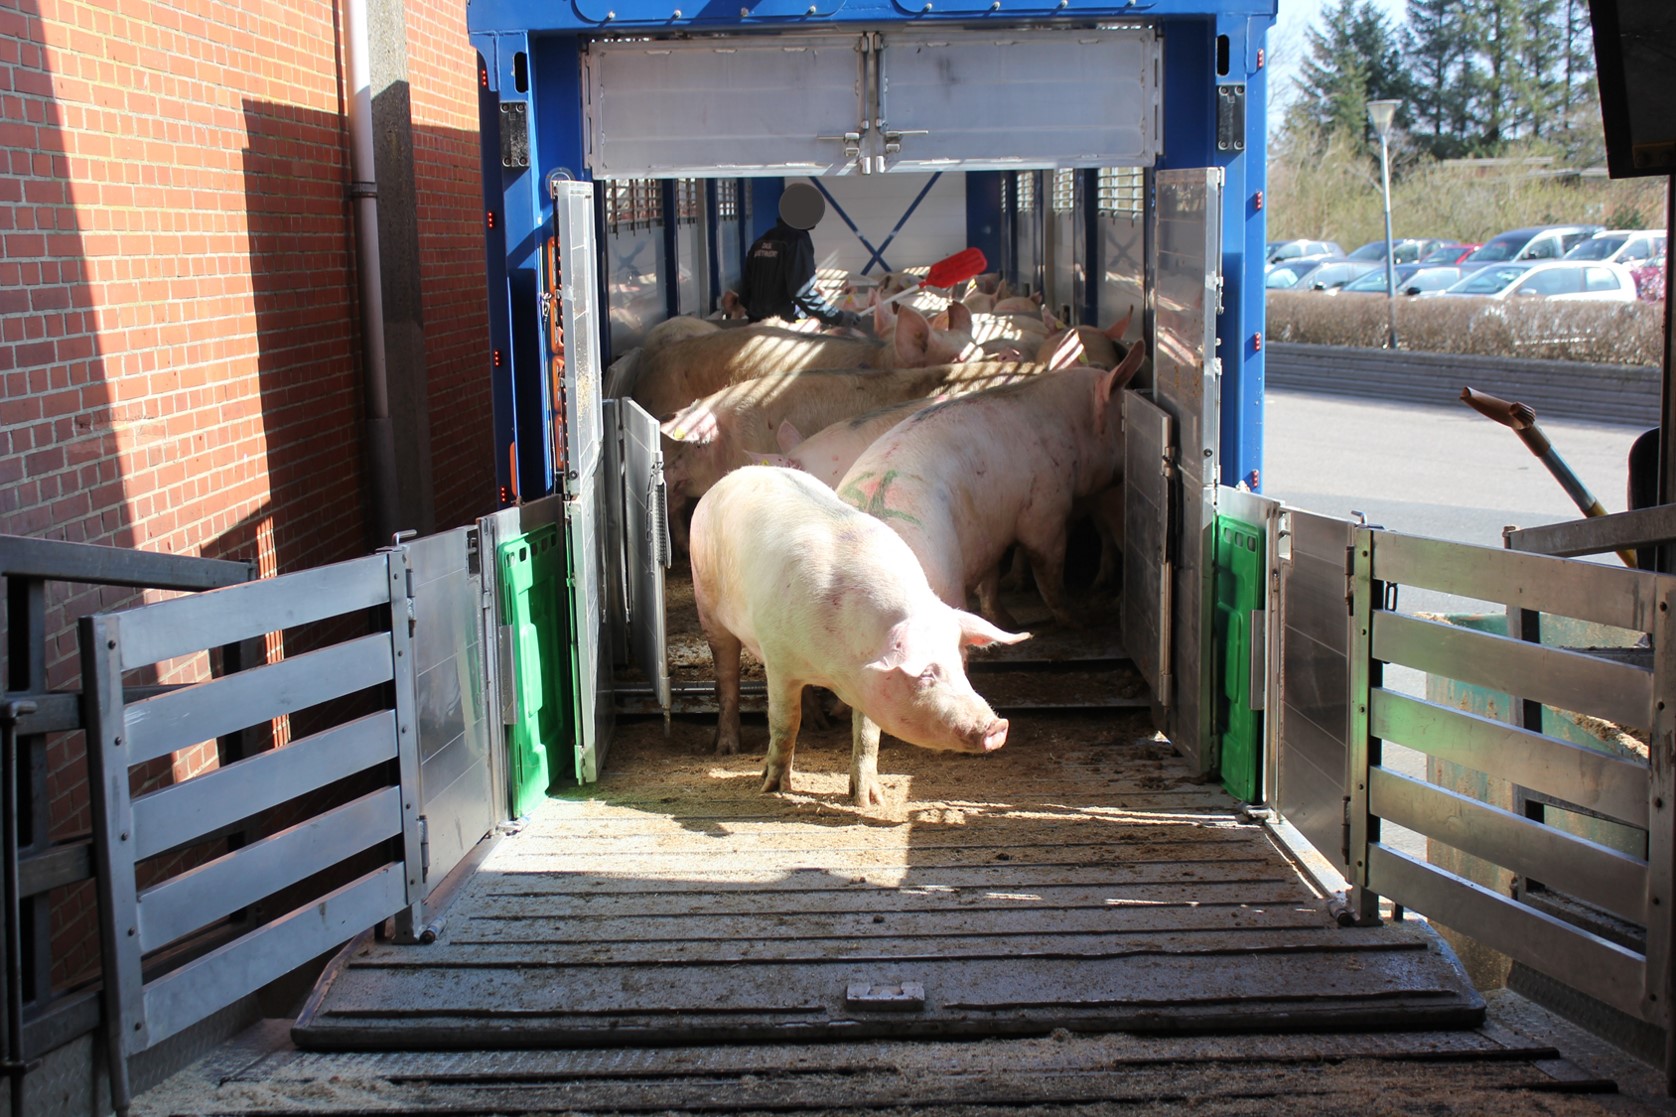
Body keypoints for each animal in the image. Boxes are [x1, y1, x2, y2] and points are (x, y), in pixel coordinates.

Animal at [687, 466, 1025, 805]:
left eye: (958, 664)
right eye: (926, 673)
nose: (997, 726)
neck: (836, 669)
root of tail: (727, 479)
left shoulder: (869, 681)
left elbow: (867, 736)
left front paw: (868, 800)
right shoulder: (779, 659)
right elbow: (784, 723)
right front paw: (773, 788)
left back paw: (820, 725)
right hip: (708, 607)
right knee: (727, 678)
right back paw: (726, 749)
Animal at [838, 337, 1153, 627]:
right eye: (1123, 421)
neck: (1071, 429)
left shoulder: (988, 528)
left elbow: (990, 578)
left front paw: (1007, 623)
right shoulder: (1045, 509)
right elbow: (1048, 570)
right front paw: (1079, 620)